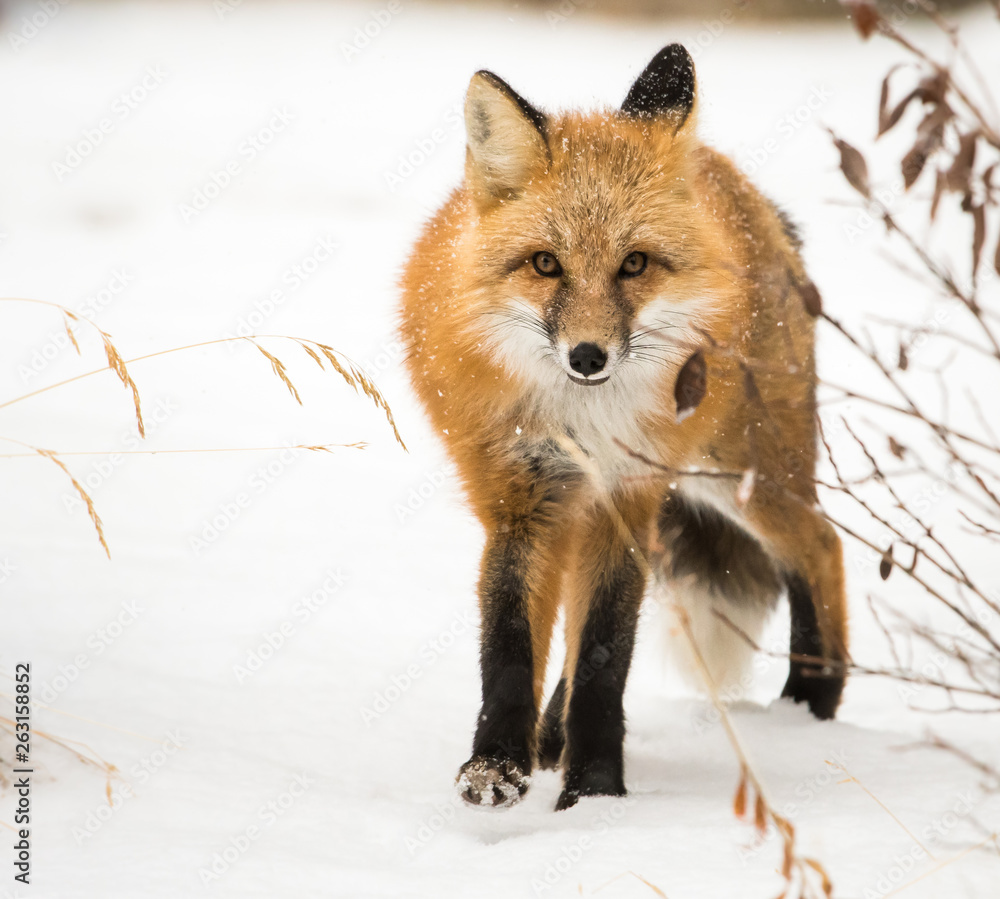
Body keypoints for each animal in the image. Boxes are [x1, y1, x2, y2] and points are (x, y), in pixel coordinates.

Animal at [398, 44, 848, 812]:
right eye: (546, 263)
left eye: (634, 263)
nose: (587, 356)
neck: (585, 423)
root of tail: (748, 192)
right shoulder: (524, 499)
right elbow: (511, 646)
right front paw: (498, 764)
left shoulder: (629, 494)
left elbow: (605, 656)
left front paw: (596, 794)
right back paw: (549, 736)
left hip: (739, 473)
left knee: (823, 545)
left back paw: (809, 704)